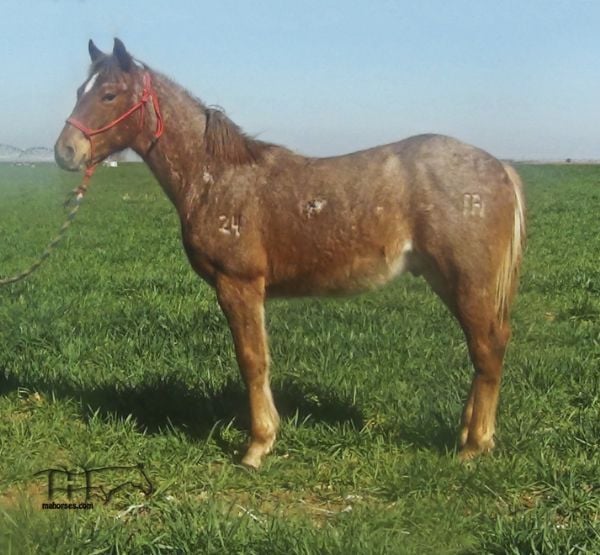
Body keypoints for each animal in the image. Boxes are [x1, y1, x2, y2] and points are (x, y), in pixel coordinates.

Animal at [55, 38, 524, 470]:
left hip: (468, 280)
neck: (215, 178)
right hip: (446, 280)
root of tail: (500, 167)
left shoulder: (239, 285)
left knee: (488, 348)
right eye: (80, 89)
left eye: (109, 94)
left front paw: (257, 446)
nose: (65, 151)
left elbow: (252, 360)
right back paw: (468, 432)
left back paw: (474, 446)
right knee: (482, 349)